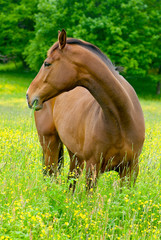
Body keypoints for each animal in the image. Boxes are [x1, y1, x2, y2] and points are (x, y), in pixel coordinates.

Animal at [26, 29, 145, 191]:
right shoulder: (93, 168)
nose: (29, 95)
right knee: (51, 175)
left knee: (71, 181)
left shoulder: (131, 170)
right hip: (49, 143)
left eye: (47, 63)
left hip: (75, 156)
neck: (121, 119)